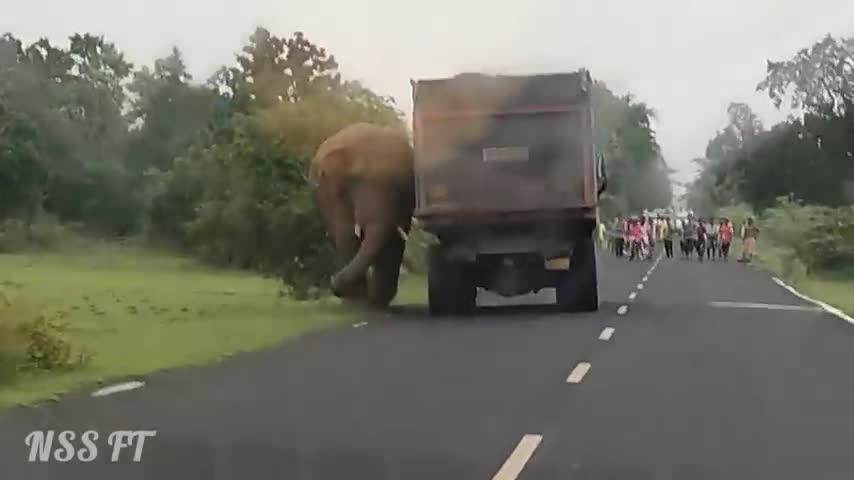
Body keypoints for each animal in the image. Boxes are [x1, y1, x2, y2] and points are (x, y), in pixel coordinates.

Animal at [310, 122, 416, 306]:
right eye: (356, 180)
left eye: (402, 189)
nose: (332, 282)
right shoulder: (334, 193)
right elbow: (347, 234)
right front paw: (357, 301)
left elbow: (393, 240)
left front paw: (372, 302)